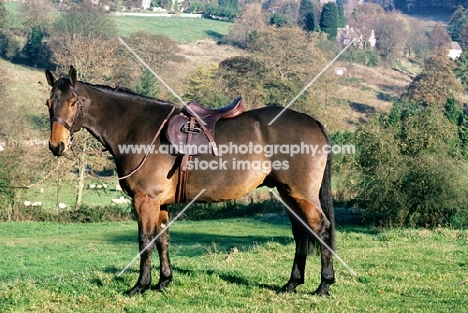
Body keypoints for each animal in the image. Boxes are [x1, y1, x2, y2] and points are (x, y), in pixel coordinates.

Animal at [44, 65, 336, 294]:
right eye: (49, 104)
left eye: (73, 103)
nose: (56, 146)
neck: (138, 129)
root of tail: (312, 122)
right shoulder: (160, 204)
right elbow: (162, 239)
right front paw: (163, 281)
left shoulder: (145, 201)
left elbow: (145, 240)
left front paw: (140, 285)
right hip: (288, 194)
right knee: (301, 232)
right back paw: (292, 283)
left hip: (301, 194)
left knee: (321, 229)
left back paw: (324, 285)